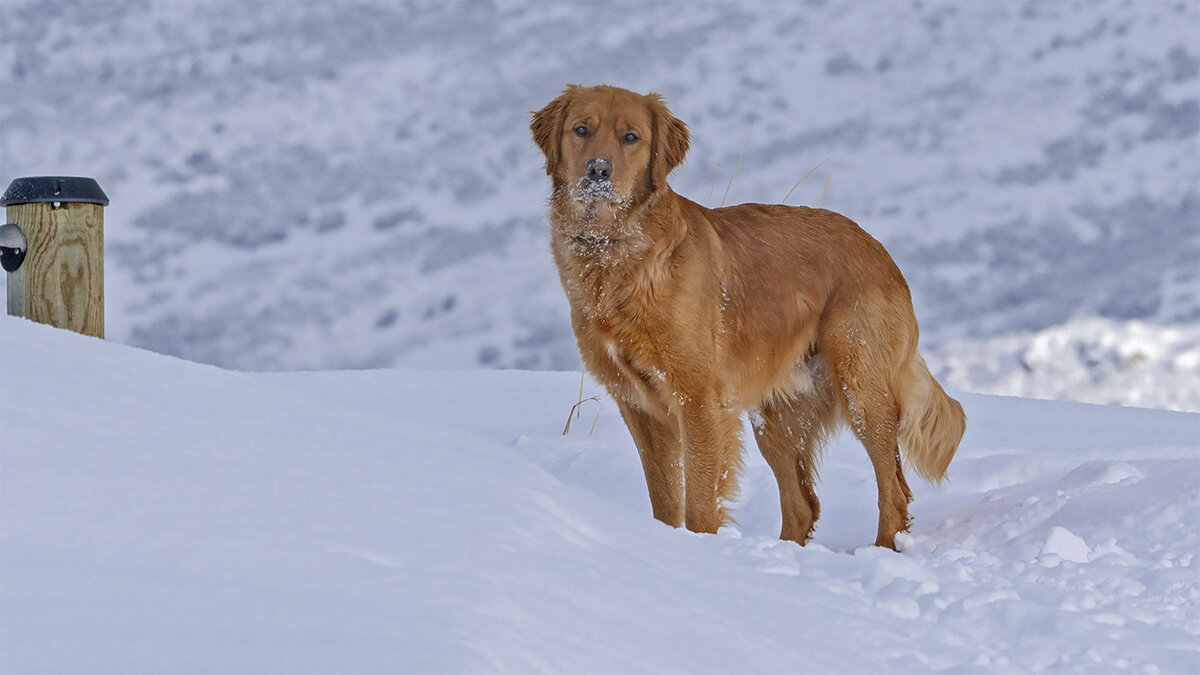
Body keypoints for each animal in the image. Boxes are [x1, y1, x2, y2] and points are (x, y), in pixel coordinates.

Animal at [535, 84, 964, 547]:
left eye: (630, 137)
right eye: (581, 130)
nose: (598, 171)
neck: (614, 250)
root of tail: (879, 248)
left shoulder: (697, 398)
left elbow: (700, 501)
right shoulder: (639, 406)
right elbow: (664, 500)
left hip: (863, 387)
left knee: (893, 489)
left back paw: (885, 548)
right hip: (777, 416)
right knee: (802, 505)